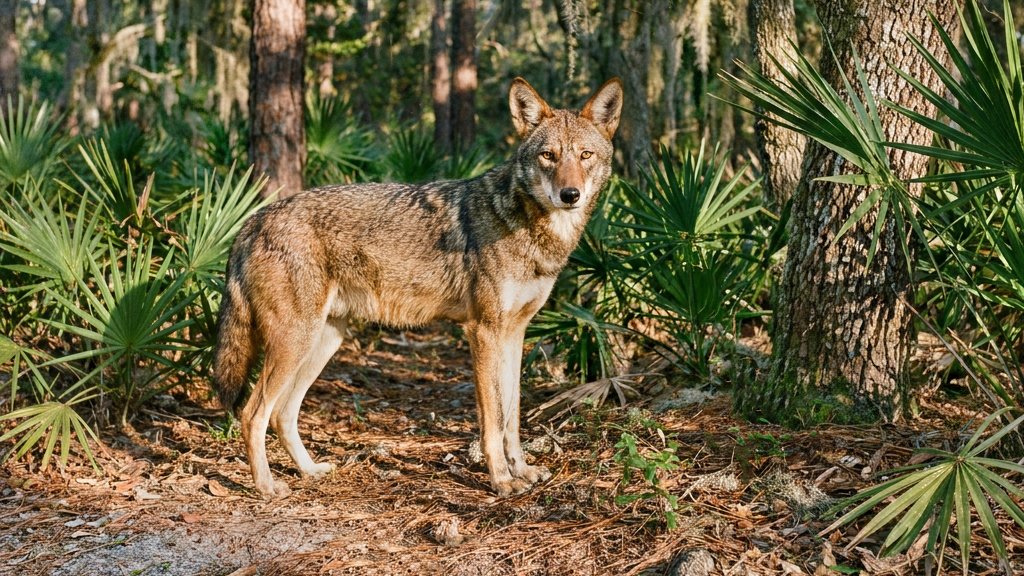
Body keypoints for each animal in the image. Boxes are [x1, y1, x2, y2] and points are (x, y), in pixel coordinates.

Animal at [213, 77, 623, 498]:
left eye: (585, 155)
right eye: (548, 156)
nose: (570, 195)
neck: (529, 228)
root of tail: (253, 220)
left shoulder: (514, 334)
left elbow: (511, 416)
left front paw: (522, 471)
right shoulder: (483, 333)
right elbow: (492, 422)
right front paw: (500, 480)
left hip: (322, 343)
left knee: (282, 413)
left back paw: (309, 471)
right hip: (295, 342)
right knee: (252, 413)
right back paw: (266, 486)